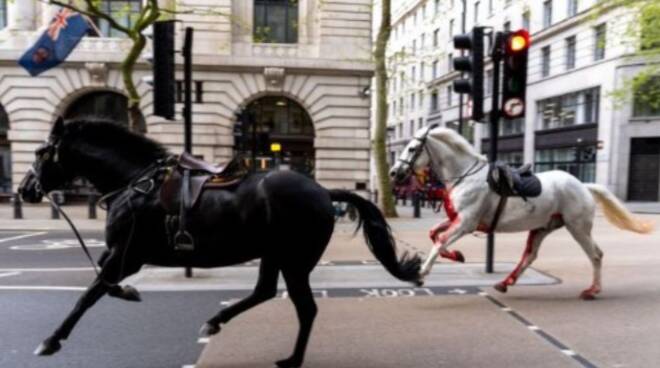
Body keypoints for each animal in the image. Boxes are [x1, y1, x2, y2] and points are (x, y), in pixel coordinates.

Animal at [19, 118, 422, 368]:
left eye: (40, 153)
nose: (25, 190)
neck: (134, 182)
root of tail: (324, 192)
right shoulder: (118, 253)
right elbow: (102, 283)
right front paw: (129, 292)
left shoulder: (128, 254)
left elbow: (90, 293)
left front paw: (51, 340)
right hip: (274, 255)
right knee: (264, 292)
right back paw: (216, 322)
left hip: (294, 260)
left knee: (305, 308)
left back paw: (291, 358)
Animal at [390, 126, 652, 300]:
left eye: (412, 148)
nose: (394, 173)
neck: (466, 176)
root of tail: (583, 185)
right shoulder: (458, 220)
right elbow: (434, 234)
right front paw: (456, 255)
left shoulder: (466, 223)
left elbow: (440, 241)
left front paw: (421, 273)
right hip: (542, 228)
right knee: (530, 256)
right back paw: (506, 282)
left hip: (577, 227)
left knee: (595, 255)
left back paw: (592, 290)